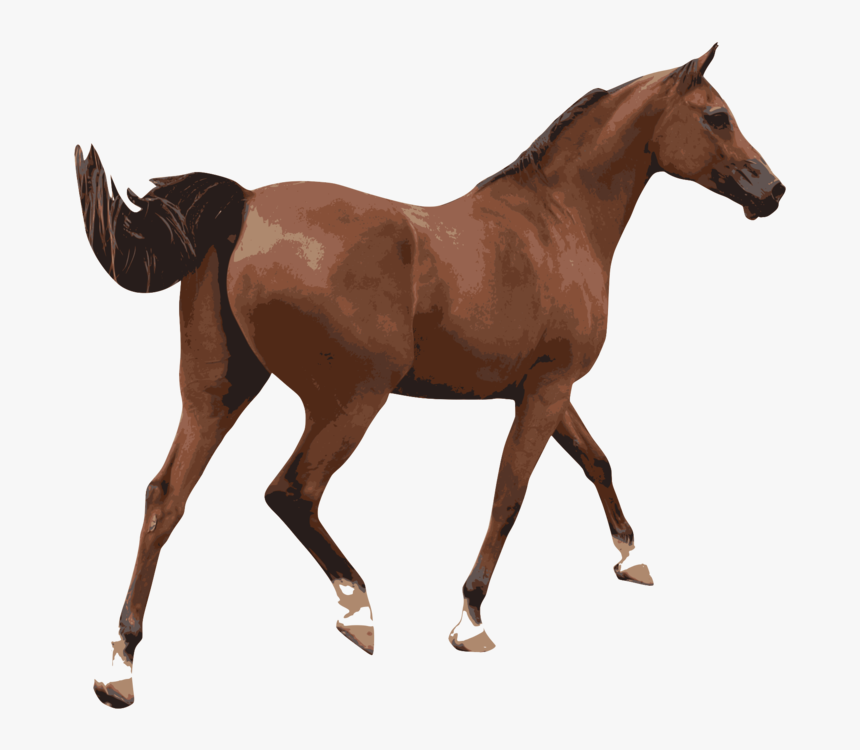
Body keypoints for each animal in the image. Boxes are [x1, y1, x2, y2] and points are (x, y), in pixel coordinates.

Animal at [75, 44, 785, 708]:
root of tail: (244, 207)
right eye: (717, 115)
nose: (772, 191)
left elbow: (597, 462)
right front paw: (470, 619)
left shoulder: (545, 390)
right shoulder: (547, 389)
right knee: (291, 492)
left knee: (165, 498)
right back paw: (357, 610)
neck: (556, 223)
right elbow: (510, 496)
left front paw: (632, 559)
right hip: (350, 401)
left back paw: (120, 668)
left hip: (218, 393)